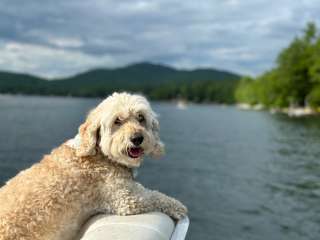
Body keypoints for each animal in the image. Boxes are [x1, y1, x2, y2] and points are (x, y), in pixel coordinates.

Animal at [0, 92, 188, 240]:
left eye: (141, 117)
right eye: (117, 121)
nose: (137, 138)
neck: (100, 155)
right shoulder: (126, 198)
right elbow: (154, 196)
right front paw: (178, 206)